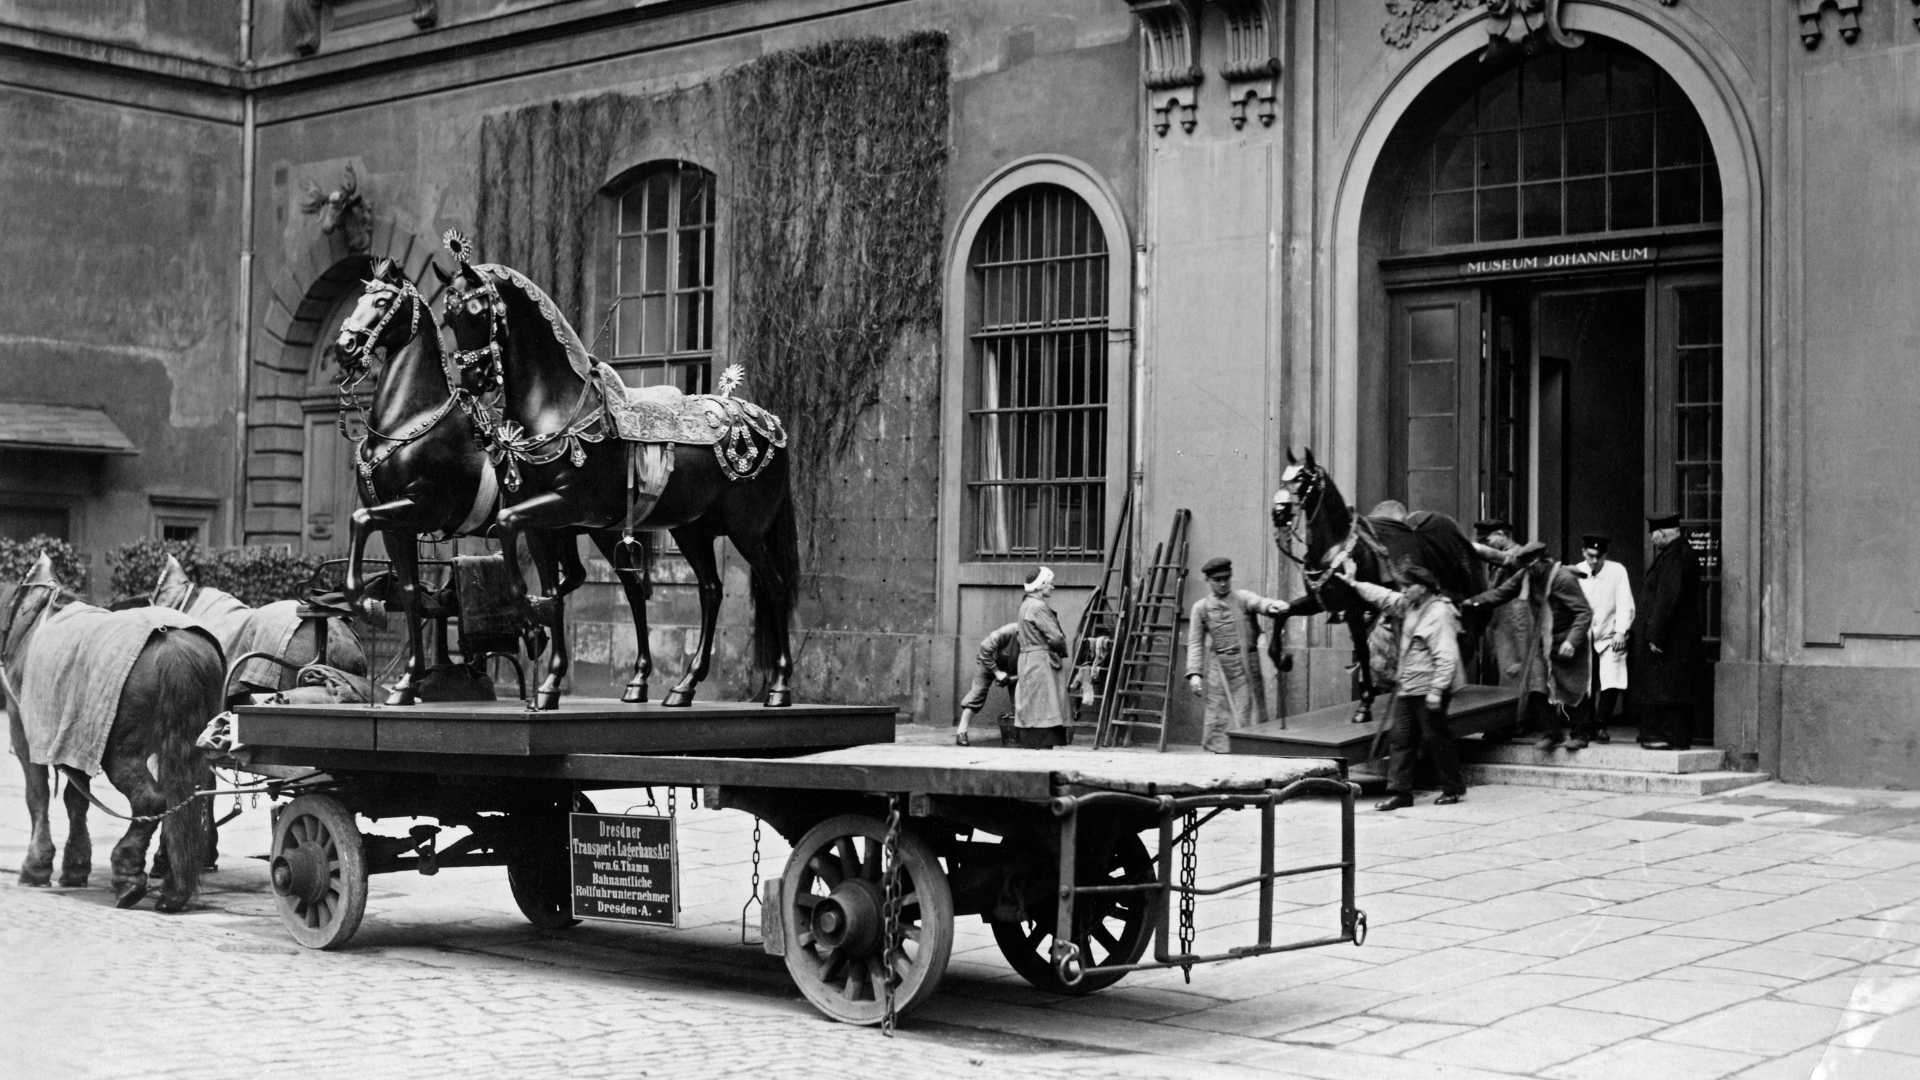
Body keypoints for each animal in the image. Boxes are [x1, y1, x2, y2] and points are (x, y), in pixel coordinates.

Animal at [4, 553, 222, 907]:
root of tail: (173, 642)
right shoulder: (76, 736)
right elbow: (75, 800)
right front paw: (75, 865)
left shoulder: (24, 731)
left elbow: (37, 796)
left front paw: (37, 865)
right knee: (192, 799)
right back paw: (174, 885)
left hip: (120, 752)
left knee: (150, 801)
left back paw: (128, 873)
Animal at [439, 231, 798, 711]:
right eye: (447, 315)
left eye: (478, 311)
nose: (475, 380)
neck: (555, 406)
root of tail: (771, 424)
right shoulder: (545, 522)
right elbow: (550, 586)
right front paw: (548, 678)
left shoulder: (565, 506)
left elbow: (509, 528)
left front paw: (533, 626)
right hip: (692, 529)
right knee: (709, 590)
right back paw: (683, 686)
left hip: (747, 530)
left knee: (774, 586)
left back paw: (779, 686)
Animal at [1267, 445, 1489, 722]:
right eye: (1284, 477)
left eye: (1302, 477)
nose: (1279, 513)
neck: (1332, 547)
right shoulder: (1319, 602)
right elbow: (1282, 613)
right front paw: (1280, 658)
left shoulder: (1352, 608)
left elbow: (1362, 649)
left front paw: (1365, 704)